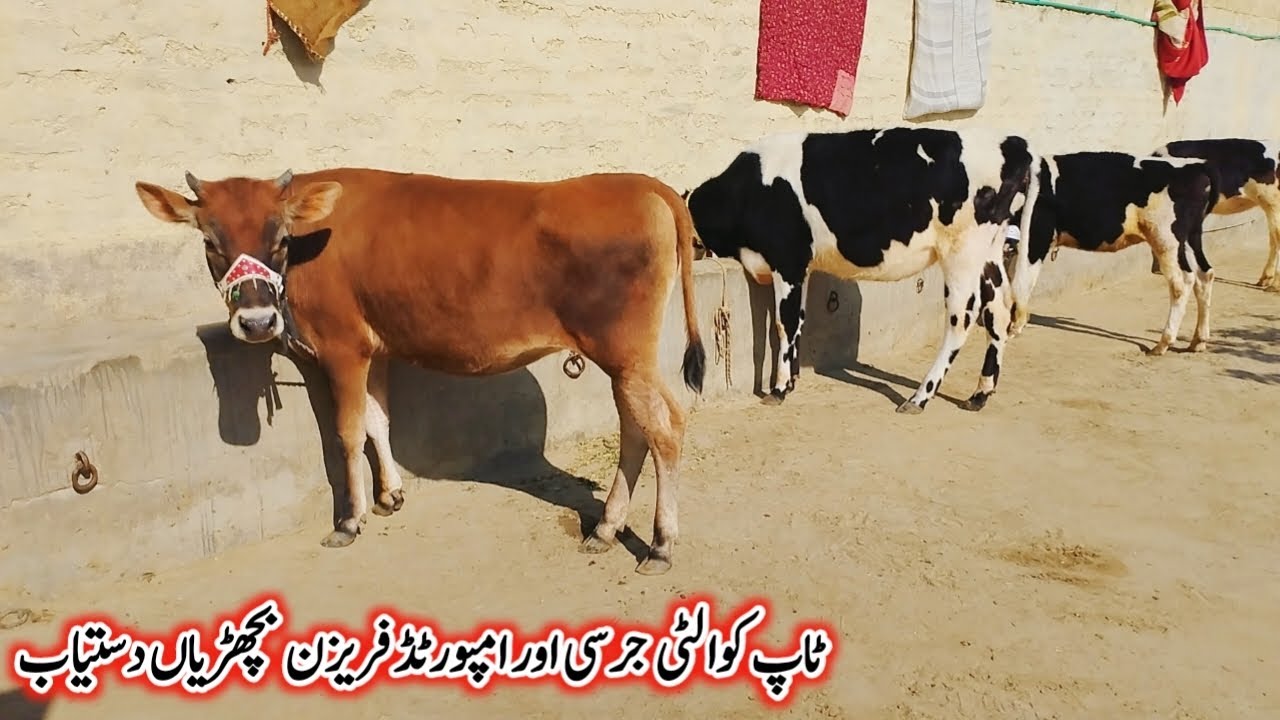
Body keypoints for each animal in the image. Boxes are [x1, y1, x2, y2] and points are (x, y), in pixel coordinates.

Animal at [133, 168, 707, 576]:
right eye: (210, 241)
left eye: (279, 238)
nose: (256, 321)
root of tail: (643, 183)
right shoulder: (377, 348)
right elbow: (376, 420)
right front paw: (390, 494)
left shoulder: (342, 348)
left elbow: (346, 433)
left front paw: (351, 518)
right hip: (624, 360)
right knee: (635, 429)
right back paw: (607, 528)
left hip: (627, 353)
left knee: (667, 429)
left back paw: (659, 545)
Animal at [683, 127, 1040, 415]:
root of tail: (1013, 143)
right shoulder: (801, 266)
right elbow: (798, 322)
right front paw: (793, 378)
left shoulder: (788, 260)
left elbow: (784, 324)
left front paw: (780, 388)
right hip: (988, 254)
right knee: (998, 313)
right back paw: (979, 394)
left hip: (961, 254)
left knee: (961, 321)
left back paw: (919, 398)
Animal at [1007, 152, 1219, 356]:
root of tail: (1197, 167)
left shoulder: (1036, 236)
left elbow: (1021, 278)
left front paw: (1015, 327)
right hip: (1191, 237)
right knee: (1204, 274)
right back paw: (1198, 341)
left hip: (1166, 238)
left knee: (1181, 283)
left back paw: (1163, 345)